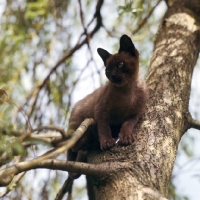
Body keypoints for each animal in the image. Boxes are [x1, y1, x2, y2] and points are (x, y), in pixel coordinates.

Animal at [66, 34, 148, 180]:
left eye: (120, 64)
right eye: (108, 70)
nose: (113, 76)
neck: (128, 91)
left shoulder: (134, 114)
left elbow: (127, 125)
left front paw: (125, 137)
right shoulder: (101, 111)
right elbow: (104, 128)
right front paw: (106, 142)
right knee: (74, 147)